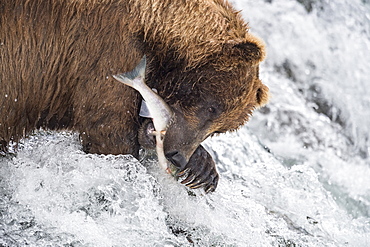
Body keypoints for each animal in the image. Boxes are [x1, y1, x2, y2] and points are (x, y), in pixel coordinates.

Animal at [1, 0, 270, 193]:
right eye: (212, 107)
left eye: (219, 130)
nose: (178, 156)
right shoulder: (105, 51)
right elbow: (110, 134)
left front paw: (203, 170)